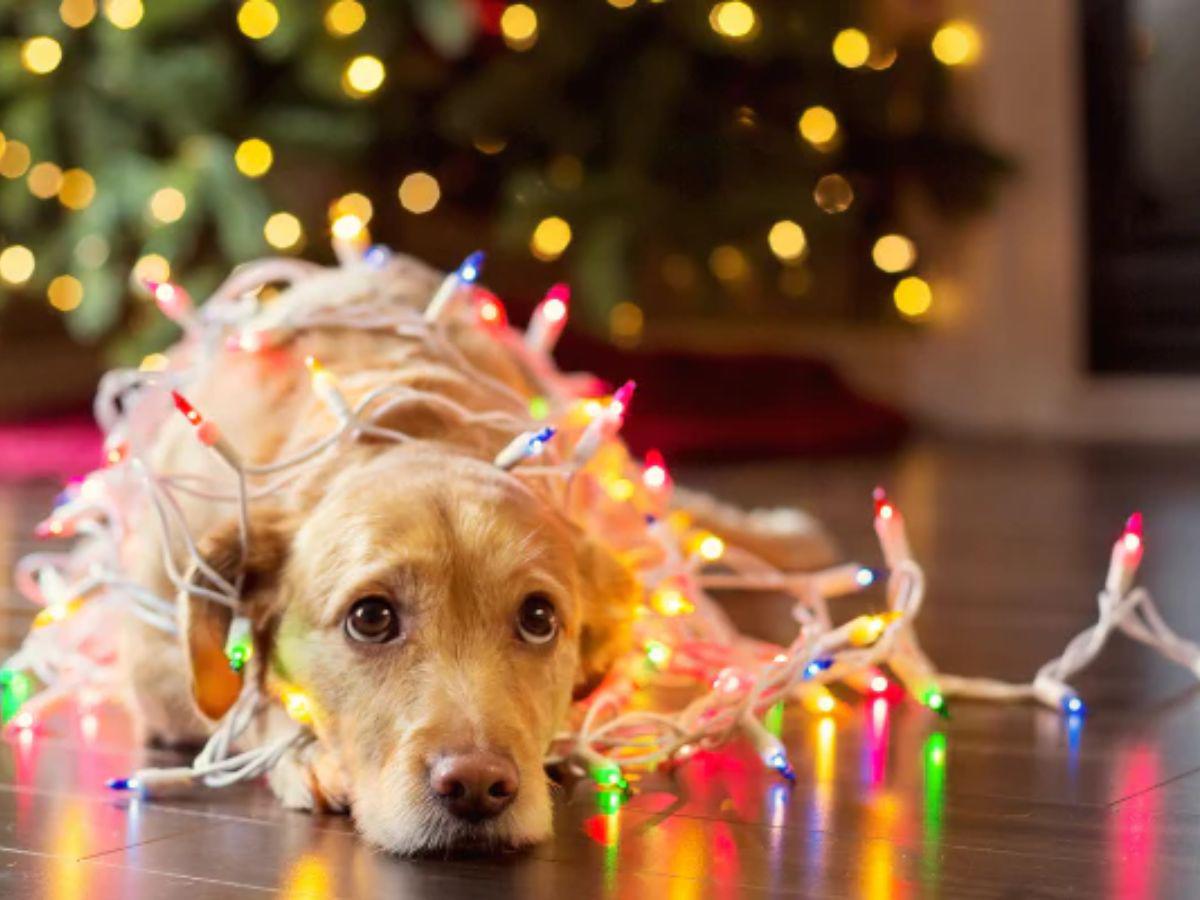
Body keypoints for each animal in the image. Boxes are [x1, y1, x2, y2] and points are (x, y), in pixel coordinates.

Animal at [121, 254, 835, 854]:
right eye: (370, 618)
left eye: (539, 618)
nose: (476, 787)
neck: (400, 427)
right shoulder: (152, 658)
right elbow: (246, 700)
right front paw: (301, 751)